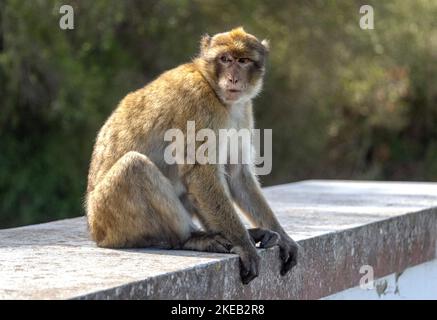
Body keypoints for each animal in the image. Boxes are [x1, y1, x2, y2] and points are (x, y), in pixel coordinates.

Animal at [85, 26, 296, 284]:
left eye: (243, 61)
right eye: (225, 59)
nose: (233, 78)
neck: (214, 90)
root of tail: (95, 232)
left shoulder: (243, 111)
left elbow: (237, 174)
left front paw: (283, 237)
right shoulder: (199, 106)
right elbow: (200, 173)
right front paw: (244, 245)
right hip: (109, 217)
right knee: (135, 167)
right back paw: (190, 238)